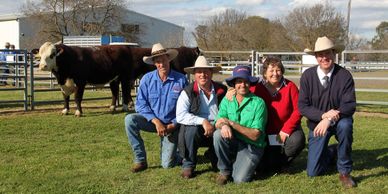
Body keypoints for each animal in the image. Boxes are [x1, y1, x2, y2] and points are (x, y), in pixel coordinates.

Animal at [36, 41, 200, 116]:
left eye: (52, 54)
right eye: (40, 54)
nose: (42, 66)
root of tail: (123, 46)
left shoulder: (80, 82)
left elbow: (77, 97)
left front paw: (78, 112)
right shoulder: (63, 83)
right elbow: (65, 97)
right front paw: (65, 110)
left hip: (125, 77)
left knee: (125, 91)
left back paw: (125, 107)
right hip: (115, 79)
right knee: (116, 92)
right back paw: (114, 107)